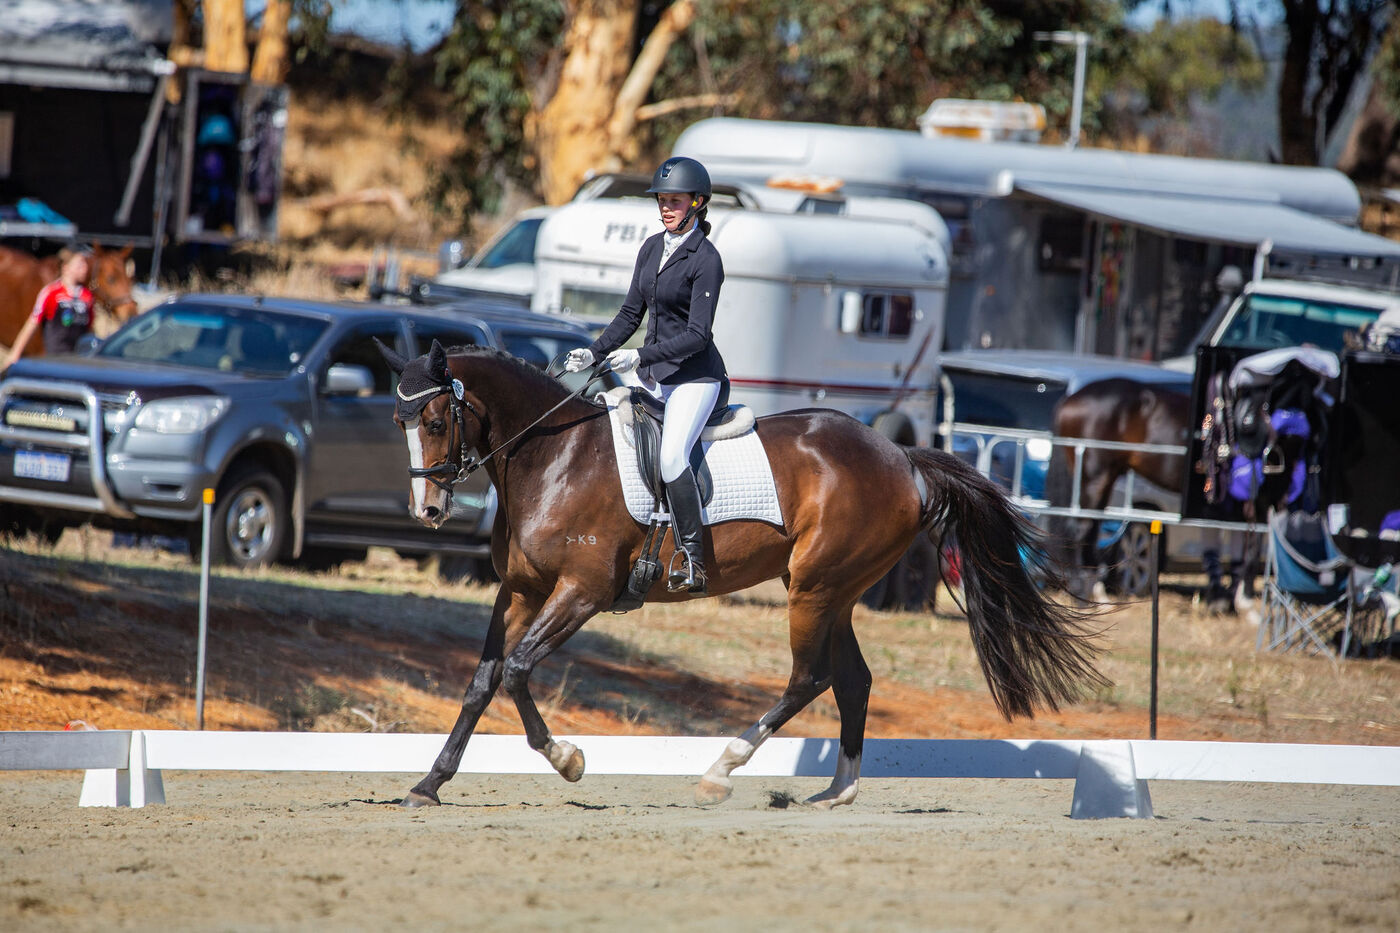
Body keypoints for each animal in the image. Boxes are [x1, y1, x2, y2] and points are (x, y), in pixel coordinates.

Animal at [379, 340, 1106, 809]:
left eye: (437, 419)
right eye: (399, 421)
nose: (428, 510)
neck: (554, 456)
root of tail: (902, 456)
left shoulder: (581, 592)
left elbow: (519, 669)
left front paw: (569, 760)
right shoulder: (521, 589)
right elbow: (483, 679)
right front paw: (428, 784)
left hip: (814, 588)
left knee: (809, 677)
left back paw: (721, 771)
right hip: (831, 591)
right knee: (853, 679)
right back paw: (836, 792)